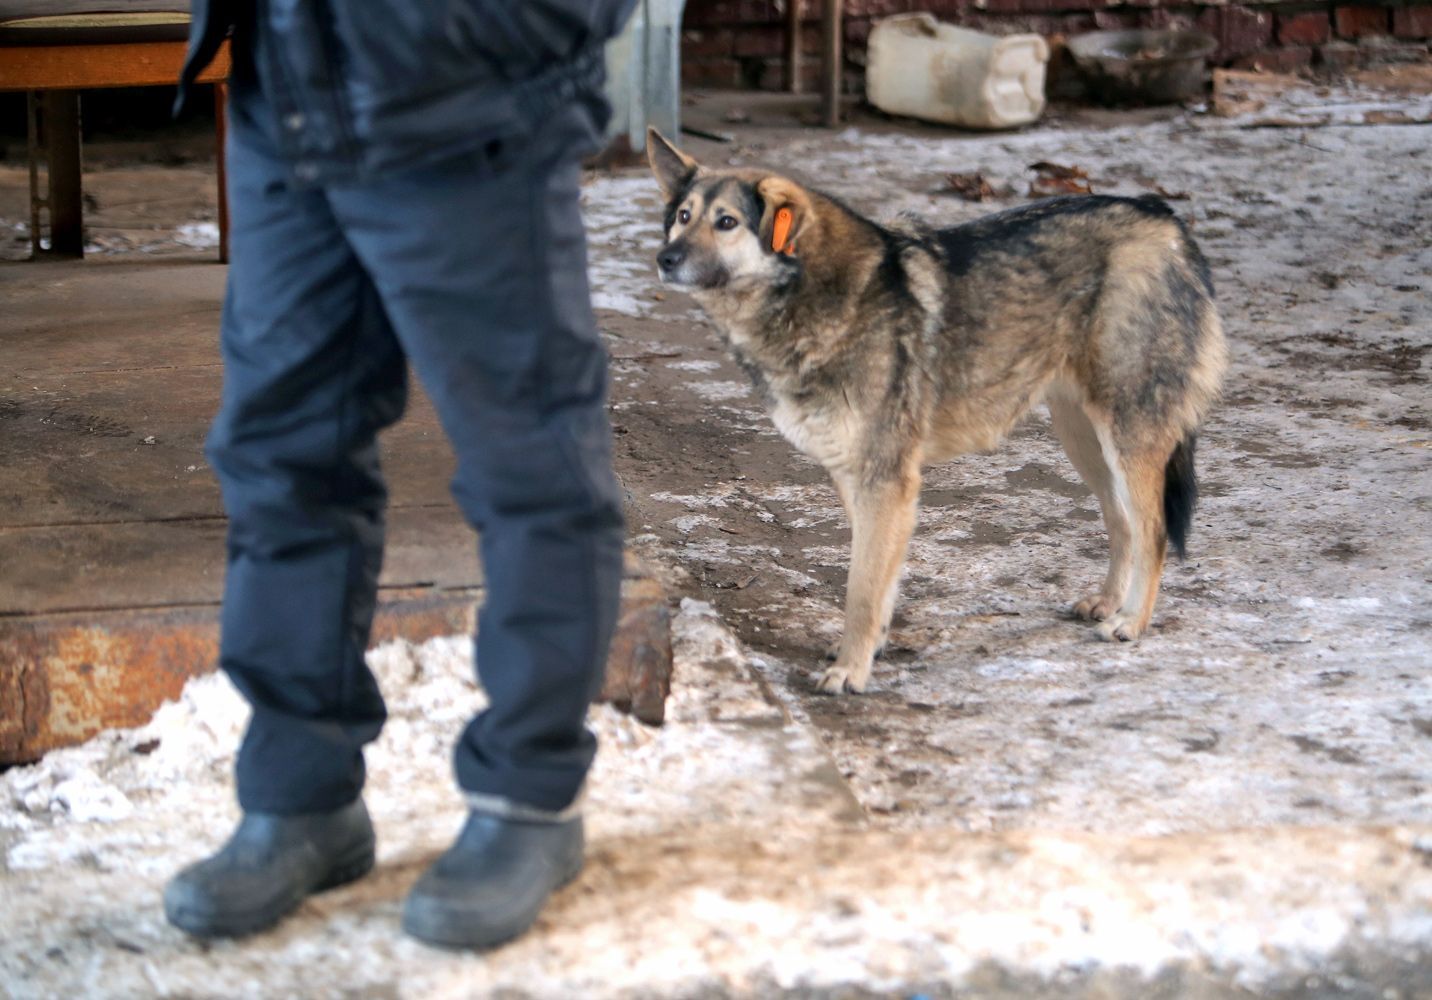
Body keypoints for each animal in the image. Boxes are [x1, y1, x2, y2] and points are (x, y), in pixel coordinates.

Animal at [644, 126, 1225, 693]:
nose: (664, 259)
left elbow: (861, 590)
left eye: (726, 222)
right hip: (1085, 442)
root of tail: (1168, 219)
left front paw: (850, 671)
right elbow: (879, 583)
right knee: (1121, 522)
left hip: (1126, 438)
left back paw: (1131, 622)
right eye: (682, 217)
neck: (810, 298)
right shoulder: (857, 480)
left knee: (1153, 529)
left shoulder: (886, 482)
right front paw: (872, 650)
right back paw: (1107, 603)